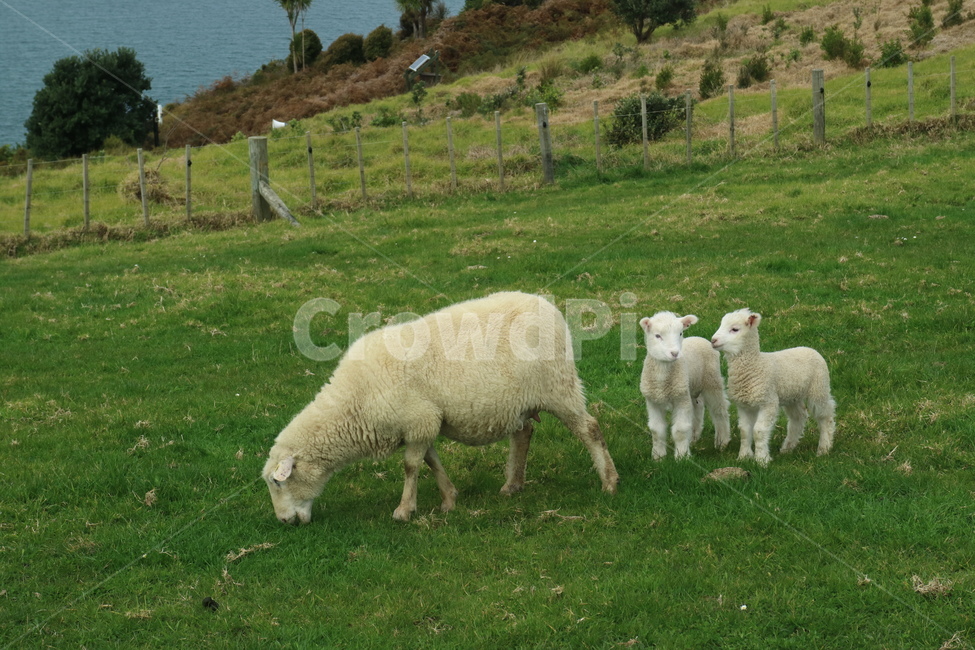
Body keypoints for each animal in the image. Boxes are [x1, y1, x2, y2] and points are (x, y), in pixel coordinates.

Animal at [262, 291, 619, 524]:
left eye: (278, 482)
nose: (284, 521)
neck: (354, 403)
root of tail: (548, 305)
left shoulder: (417, 420)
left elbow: (410, 467)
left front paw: (404, 511)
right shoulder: (422, 423)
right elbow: (430, 462)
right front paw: (449, 499)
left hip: (558, 385)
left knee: (590, 429)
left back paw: (609, 481)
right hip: (520, 399)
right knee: (524, 433)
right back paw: (512, 484)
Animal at [639, 311, 731, 460]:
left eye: (680, 333)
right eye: (657, 335)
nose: (674, 353)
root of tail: (698, 338)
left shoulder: (681, 399)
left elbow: (680, 430)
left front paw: (682, 456)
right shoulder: (653, 401)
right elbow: (656, 430)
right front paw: (658, 456)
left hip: (711, 381)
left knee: (719, 410)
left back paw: (722, 442)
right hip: (690, 388)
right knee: (697, 408)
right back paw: (693, 437)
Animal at [710, 308, 836, 466]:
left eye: (735, 329)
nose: (713, 340)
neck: (755, 365)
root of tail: (809, 348)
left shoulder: (768, 402)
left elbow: (758, 431)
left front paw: (762, 460)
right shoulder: (744, 405)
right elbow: (745, 431)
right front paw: (744, 457)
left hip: (819, 387)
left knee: (825, 415)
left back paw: (824, 448)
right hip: (792, 394)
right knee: (798, 417)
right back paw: (788, 447)